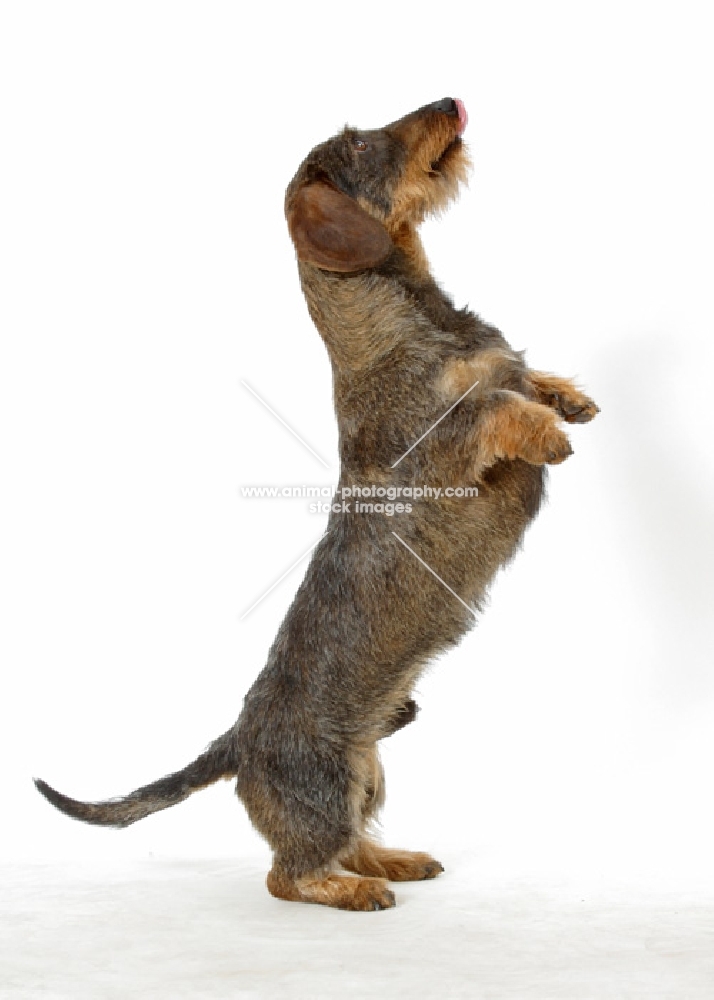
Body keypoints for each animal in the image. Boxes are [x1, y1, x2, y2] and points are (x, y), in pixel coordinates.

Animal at [33, 97, 596, 912]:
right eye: (360, 144)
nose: (452, 102)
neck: (408, 318)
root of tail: (238, 739)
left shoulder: (499, 368)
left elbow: (520, 376)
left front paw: (569, 398)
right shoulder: (442, 443)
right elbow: (489, 405)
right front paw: (548, 430)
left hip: (369, 767)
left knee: (354, 839)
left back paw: (394, 861)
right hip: (326, 783)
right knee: (289, 873)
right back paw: (357, 891)